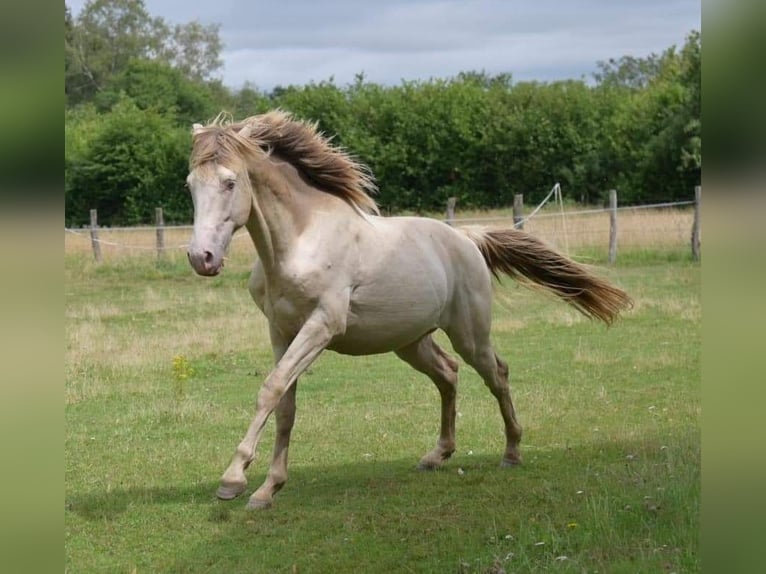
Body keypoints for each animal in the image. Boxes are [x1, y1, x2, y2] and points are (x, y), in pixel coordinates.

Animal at [186, 110, 636, 510]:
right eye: (191, 184)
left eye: (230, 182)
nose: (201, 258)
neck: (300, 241)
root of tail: (467, 238)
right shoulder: (281, 332)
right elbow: (284, 403)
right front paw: (268, 489)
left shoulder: (322, 326)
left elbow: (271, 389)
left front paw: (233, 480)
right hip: (411, 341)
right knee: (448, 374)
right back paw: (438, 455)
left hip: (470, 334)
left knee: (497, 374)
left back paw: (511, 453)